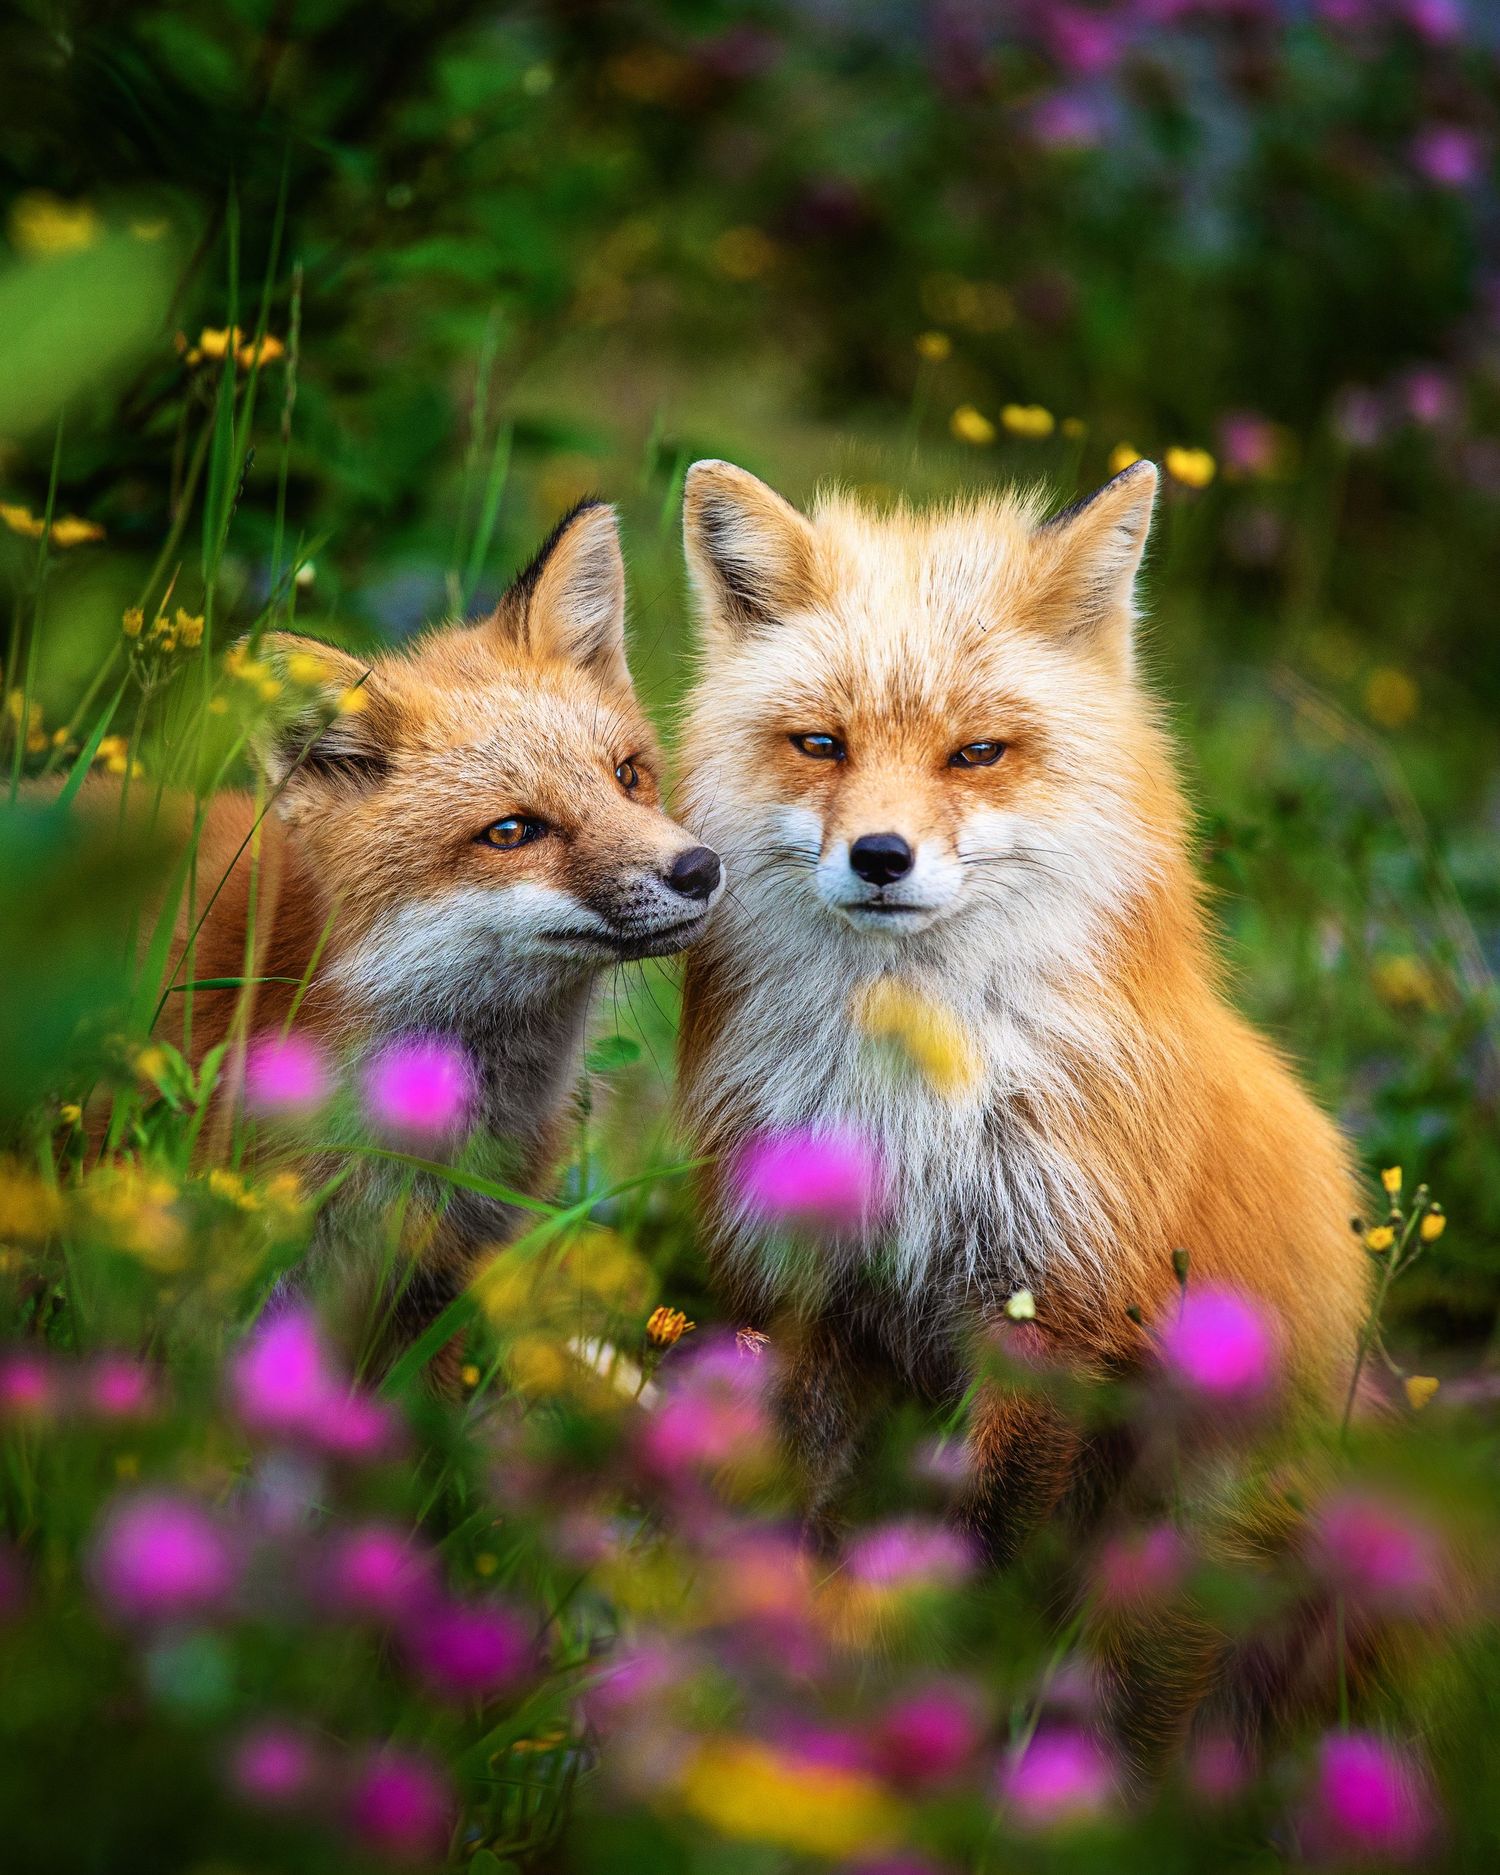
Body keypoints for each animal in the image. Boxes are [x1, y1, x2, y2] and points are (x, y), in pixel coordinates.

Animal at [674, 457, 1370, 1563]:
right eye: (821, 744)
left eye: (977, 753)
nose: (880, 856)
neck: (908, 1102)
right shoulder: (810, 1293)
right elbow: (792, 1495)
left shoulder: (1054, 1305)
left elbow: (994, 1535)